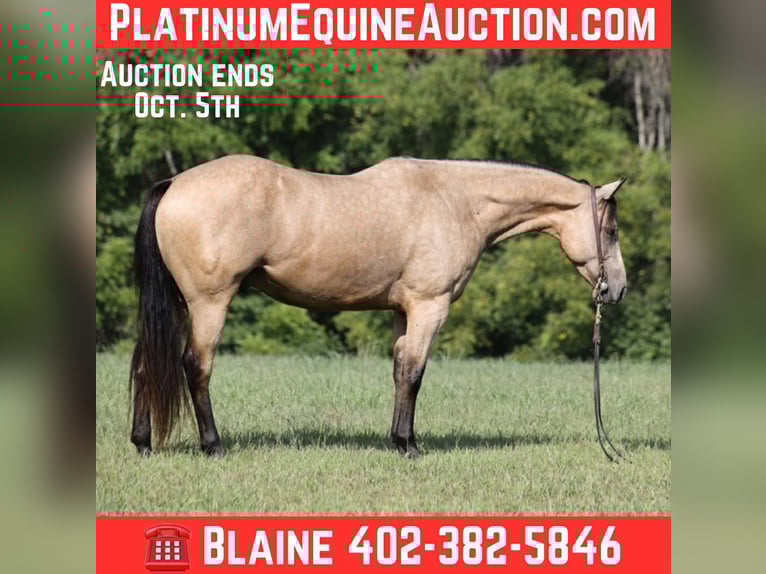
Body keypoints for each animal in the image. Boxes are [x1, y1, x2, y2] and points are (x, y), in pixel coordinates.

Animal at [130, 155, 627, 458]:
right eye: (612, 230)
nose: (617, 290)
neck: (456, 201)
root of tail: (174, 184)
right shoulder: (429, 306)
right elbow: (415, 373)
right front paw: (409, 445)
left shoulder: (401, 311)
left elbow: (399, 371)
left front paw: (398, 439)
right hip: (209, 303)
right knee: (195, 365)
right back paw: (213, 445)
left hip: (176, 304)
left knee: (145, 364)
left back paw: (142, 442)